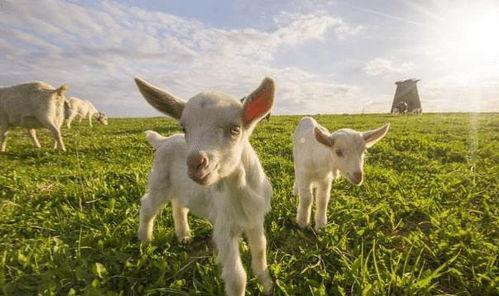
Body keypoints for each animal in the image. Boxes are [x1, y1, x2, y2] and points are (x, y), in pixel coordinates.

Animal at [135, 77, 276, 296]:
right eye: (185, 128)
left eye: (235, 129)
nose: (195, 164)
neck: (240, 191)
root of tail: (164, 140)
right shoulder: (224, 226)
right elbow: (237, 277)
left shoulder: (255, 219)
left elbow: (261, 253)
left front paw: (267, 285)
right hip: (159, 179)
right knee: (148, 205)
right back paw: (144, 239)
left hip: (181, 187)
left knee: (178, 205)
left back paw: (184, 235)